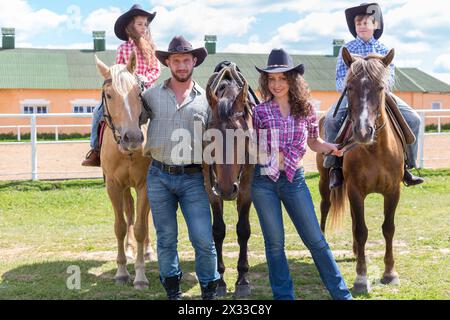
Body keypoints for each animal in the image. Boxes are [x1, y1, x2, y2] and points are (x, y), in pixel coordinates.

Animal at [95, 53, 155, 290]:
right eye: (109, 95)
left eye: (139, 92)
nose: (133, 138)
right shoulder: (113, 185)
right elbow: (120, 226)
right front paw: (121, 272)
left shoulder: (145, 185)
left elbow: (140, 227)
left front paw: (140, 276)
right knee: (129, 213)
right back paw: (129, 250)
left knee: (144, 219)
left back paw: (147, 250)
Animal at [314, 46, 402, 294]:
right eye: (350, 87)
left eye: (380, 87)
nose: (363, 132)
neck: (375, 151)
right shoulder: (354, 190)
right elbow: (362, 231)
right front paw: (361, 278)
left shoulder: (393, 191)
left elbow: (388, 228)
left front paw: (389, 273)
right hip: (324, 182)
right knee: (325, 206)